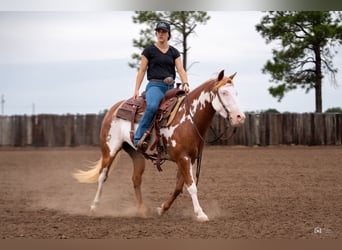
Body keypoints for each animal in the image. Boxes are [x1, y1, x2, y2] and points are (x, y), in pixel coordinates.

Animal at [73, 69, 246, 222]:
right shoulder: (183, 158)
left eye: (237, 93)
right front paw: (200, 214)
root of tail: (114, 109)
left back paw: (142, 210)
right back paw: (94, 207)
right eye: (224, 93)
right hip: (109, 149)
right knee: (103, 176)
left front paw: (162, 209)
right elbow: (191, 186)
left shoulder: (189, 159)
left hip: (136, 154)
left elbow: (179, 187)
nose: (240, 117)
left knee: (136, 179)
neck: (189, 119)